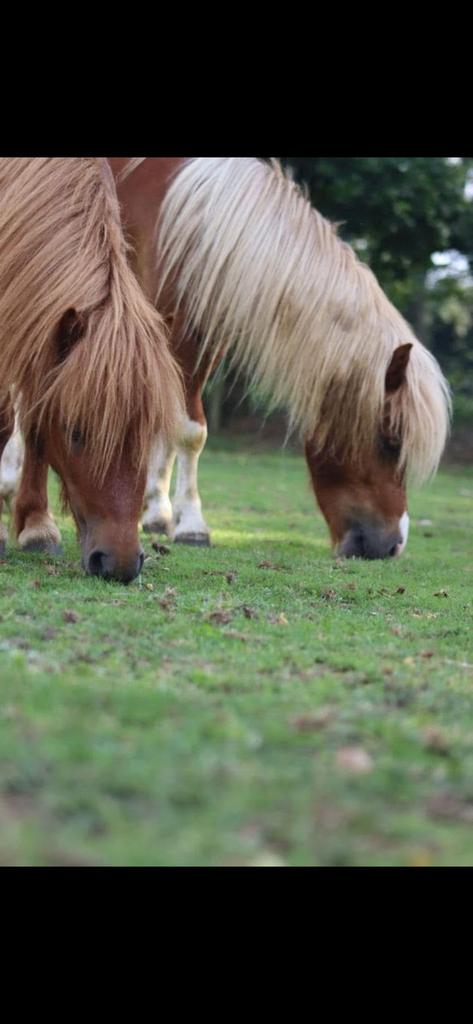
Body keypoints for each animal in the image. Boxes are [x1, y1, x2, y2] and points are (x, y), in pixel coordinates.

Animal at [105, 157, 450, 560]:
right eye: (390, 442)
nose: (392, 546)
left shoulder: (203, 337)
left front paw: (160, 514)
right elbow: (186, 429)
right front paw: (191, 525)